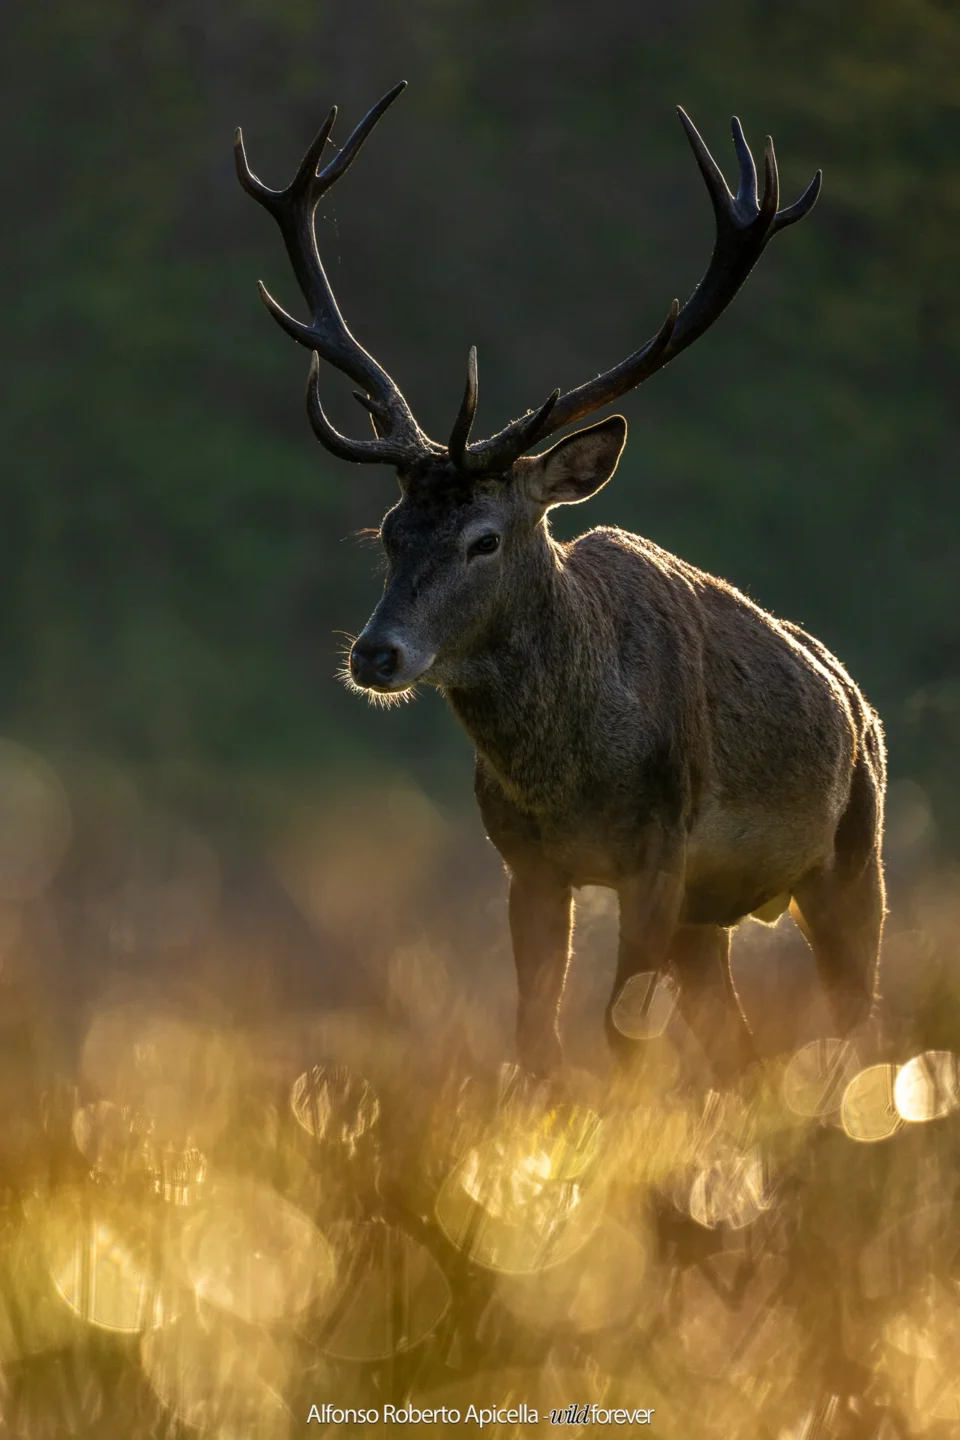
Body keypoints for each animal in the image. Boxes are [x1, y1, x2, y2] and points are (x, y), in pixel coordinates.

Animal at [236, 82, 886, 1085]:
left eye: (485, 539)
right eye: (389, 531)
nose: (376, 654)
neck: (568, 771)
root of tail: (856, 702)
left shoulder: (658, 854)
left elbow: (621, 1039)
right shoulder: (528, 865)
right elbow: (533, 1039)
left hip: (855, 854)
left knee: (860, 1026)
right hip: (713, 917)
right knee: (739, 1049)